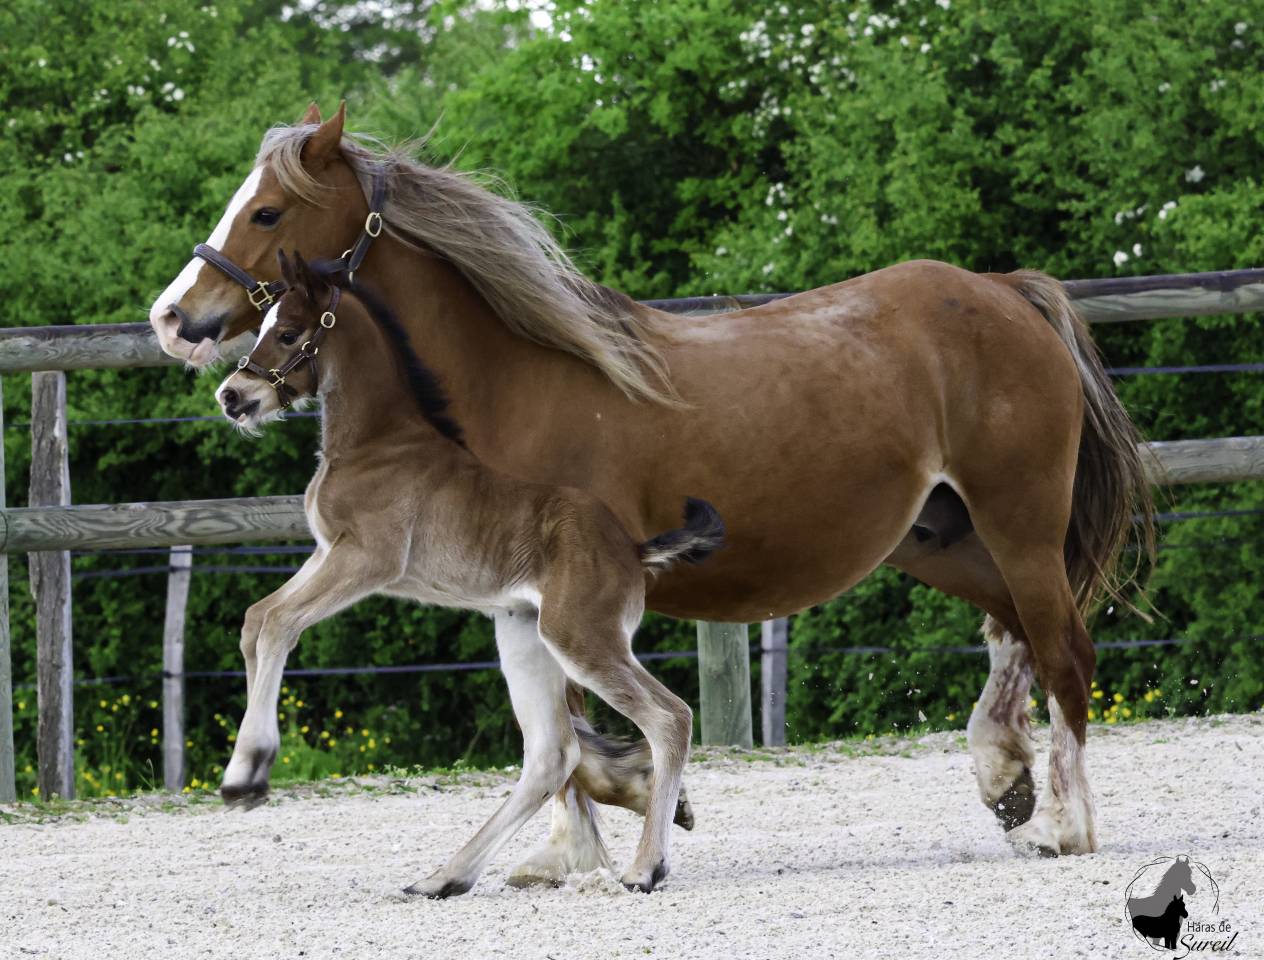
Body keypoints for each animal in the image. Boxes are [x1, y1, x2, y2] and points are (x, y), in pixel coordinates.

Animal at [214, 250, 725, 895]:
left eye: (286, 332)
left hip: (580, 636)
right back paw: (444, 878)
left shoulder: (368, 559)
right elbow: (257, 620)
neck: (375, 444)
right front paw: (244, 773)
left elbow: (280, 624)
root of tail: (632, 550)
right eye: (259, 327)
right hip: (524, 632)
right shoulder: (329, 553)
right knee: (552, 754)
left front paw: (247, 776)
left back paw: (644, 868)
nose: (232, 397)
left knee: (668, 717)